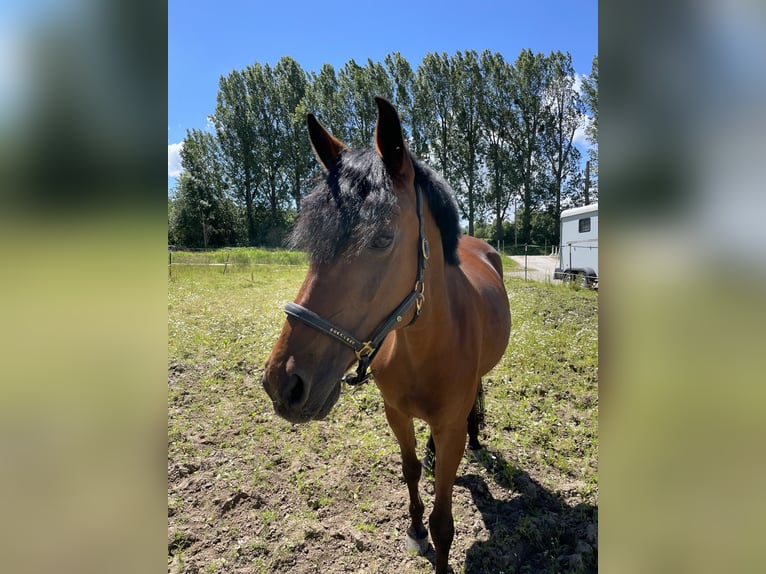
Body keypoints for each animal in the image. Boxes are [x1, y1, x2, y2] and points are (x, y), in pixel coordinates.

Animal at [260, 97, 512, 572]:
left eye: (381, 238)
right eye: (312, 243)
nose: (283, 383)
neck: (424, 346)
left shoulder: (450, 424)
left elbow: (444, 522)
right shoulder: (396, 413)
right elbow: (410, 470)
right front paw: (414, 528)